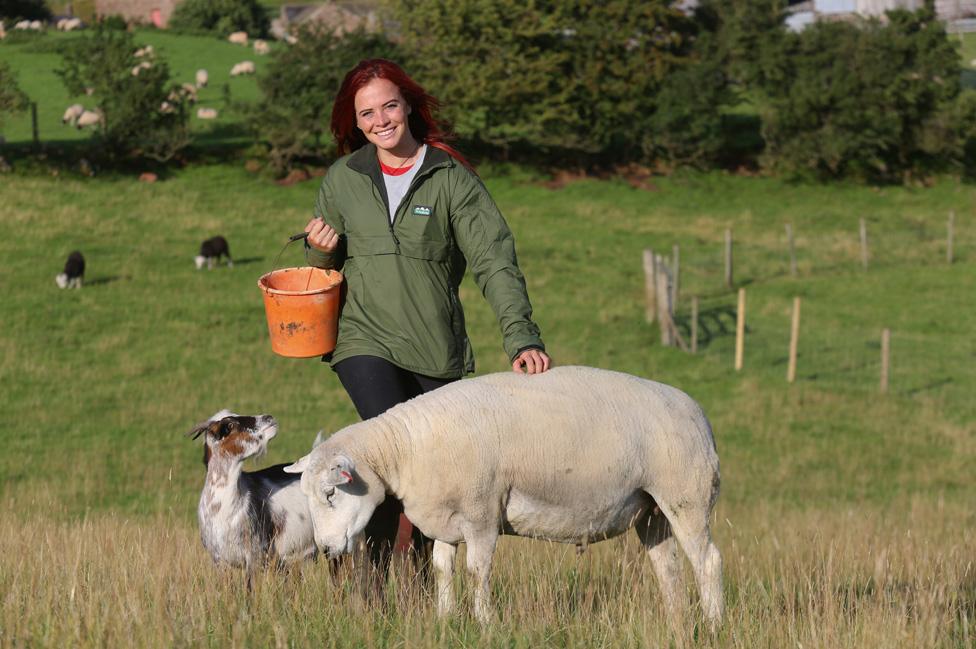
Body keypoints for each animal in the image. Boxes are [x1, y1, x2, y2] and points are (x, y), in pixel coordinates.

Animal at [286, 368, 720, 632]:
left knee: (708, 562)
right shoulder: (447, 516)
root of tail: (698, 413)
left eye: (330, 492)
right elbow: (443, 568)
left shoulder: (481, 512)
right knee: (668, 567)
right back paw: (676, 623)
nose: (326, 549)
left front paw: (485, 622)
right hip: (652, 509)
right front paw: (445, 618)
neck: (406, 449)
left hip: (687, 496)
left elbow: (477, 571)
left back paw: (713, 624)